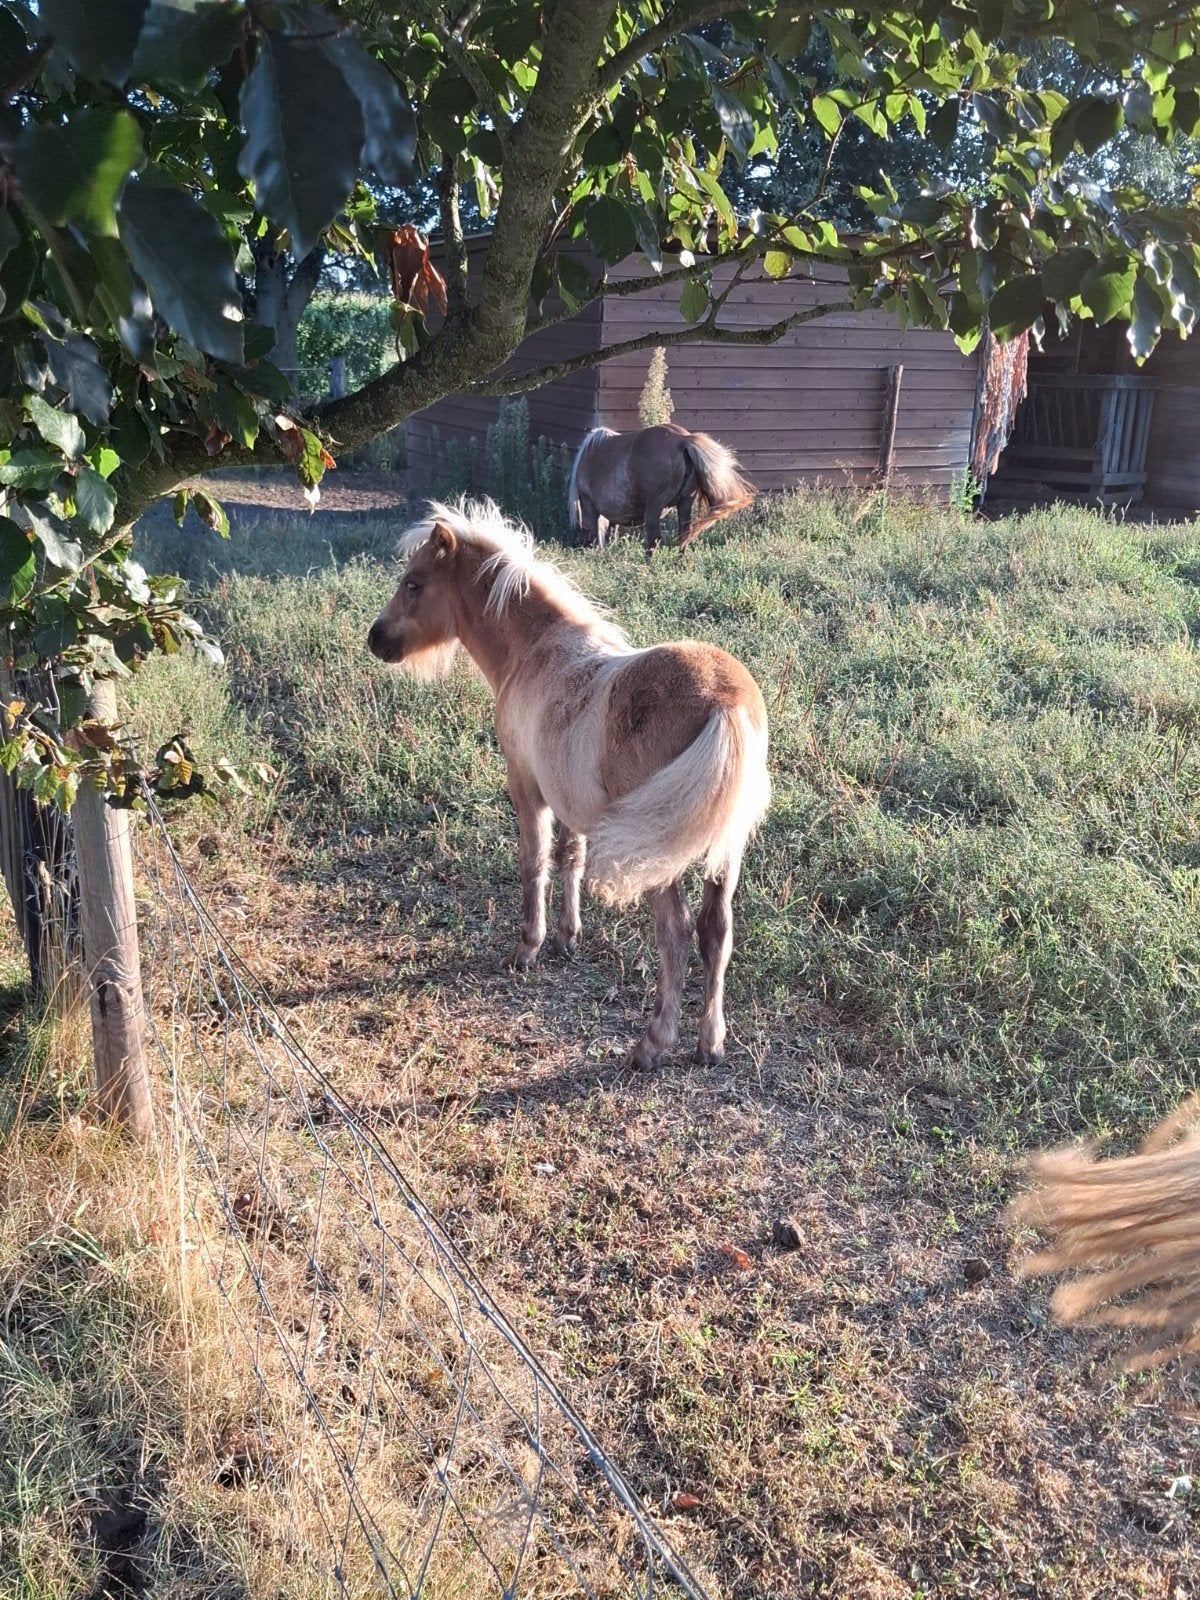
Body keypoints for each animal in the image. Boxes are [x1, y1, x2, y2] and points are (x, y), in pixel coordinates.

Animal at [366, 498, 771, 1070]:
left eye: (414, 583)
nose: (376, 638)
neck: (535, 648)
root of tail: (725, 700)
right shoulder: (571, 802)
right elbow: (570, 859)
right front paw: (567, 937)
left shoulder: (526, 787)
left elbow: (534, 862)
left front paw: (529, 947)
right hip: (723, 848)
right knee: (717, 930)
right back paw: (709, 1043)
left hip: (657, 855)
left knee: (676, 932)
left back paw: (651, 1044)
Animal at [567, 423, 756, 554]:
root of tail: (682, 440)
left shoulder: (589, 505)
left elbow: (597, 534)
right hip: (685, 503)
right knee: (684, 535)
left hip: (654, 508)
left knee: (654, 539)